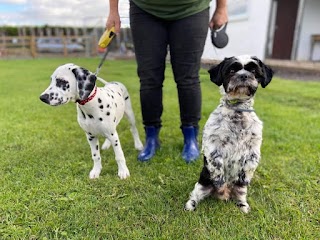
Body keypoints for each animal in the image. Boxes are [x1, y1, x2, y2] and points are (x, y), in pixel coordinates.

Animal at [185, 55, 272, 213]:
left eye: (253, 71)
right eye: (231, 70)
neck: (238, 112)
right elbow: (217, 164)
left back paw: (242, 205)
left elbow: (248, 168)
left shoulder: (253, 150)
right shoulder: (213, 146)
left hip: (238, 190)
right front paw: (220, 180)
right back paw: (191, 205)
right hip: (203, 184)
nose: (243, 75)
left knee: (240, 193)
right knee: (196, 194)